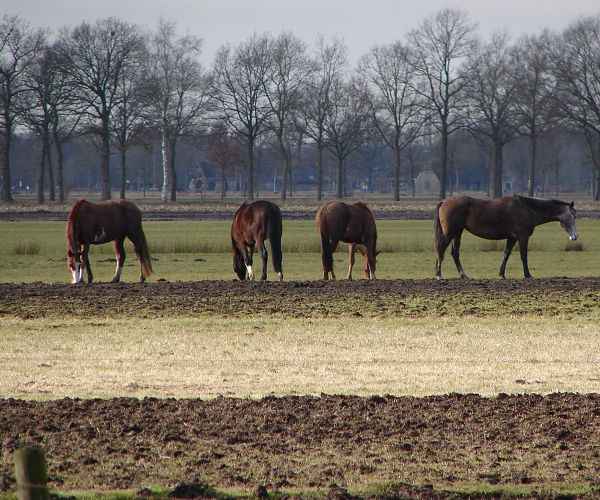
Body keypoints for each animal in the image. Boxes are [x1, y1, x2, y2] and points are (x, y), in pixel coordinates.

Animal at [434, 194, 580, 280]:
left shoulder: (512, 238)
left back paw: (462, 275)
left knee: (454, 253)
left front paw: (501, 274)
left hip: (457, 233)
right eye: (573, 215)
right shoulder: (522, 237)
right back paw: (439, 274)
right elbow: (523, 256)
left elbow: (506, 254)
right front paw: (528, 275)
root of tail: (444, 202)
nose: (575, 236)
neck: (526, 208)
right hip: (450, 233)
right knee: (441, 250)